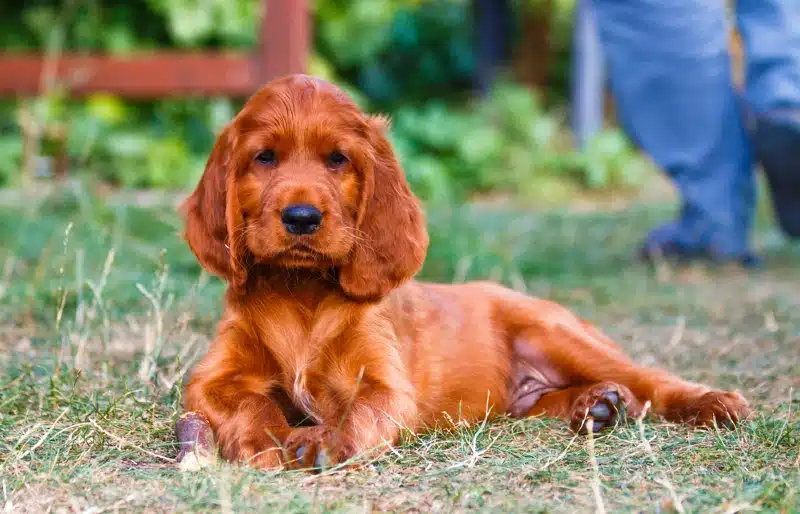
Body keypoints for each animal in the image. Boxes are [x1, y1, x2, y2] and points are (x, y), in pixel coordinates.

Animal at [178, 74, 752, 470]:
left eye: (337, 159)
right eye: (265, 158)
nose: (301, 218)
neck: (300, 293)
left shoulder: (387, 385)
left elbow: (359, 410)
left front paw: (323, 440)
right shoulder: (211, 379)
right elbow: (248, 402)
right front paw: (265, 438)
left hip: (555, 333)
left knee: (649, 378)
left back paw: (709, 401)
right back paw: (598, 405)